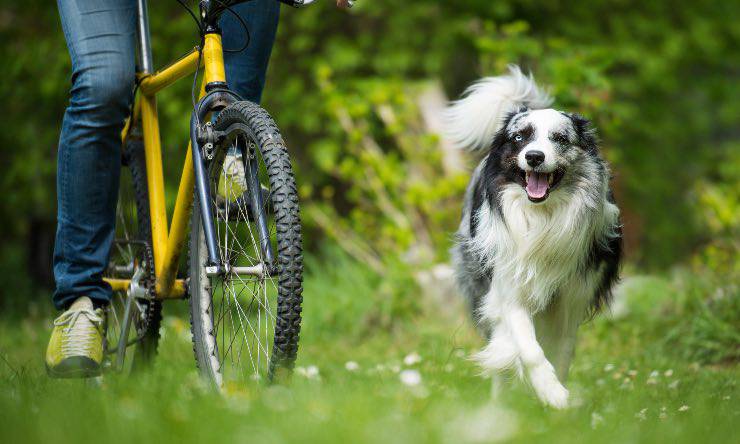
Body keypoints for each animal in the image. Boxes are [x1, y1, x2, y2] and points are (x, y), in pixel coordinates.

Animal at [446, 67, 624, 410]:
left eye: (560, 138)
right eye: (519, 137)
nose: (535, 157)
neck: (542, 217)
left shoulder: (573, 298)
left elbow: (562, 352)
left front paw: (554, 398)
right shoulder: (509, 288)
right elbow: (528, 349)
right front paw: (550, 392)